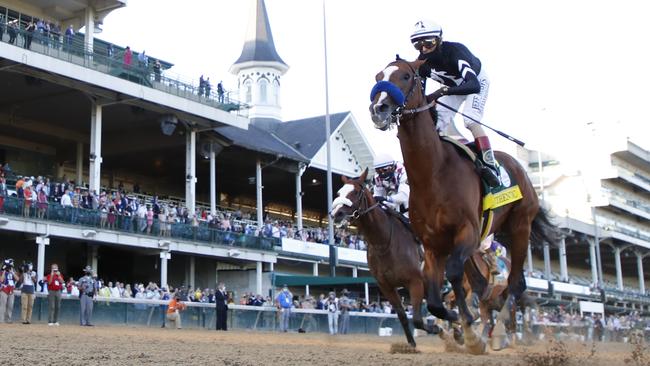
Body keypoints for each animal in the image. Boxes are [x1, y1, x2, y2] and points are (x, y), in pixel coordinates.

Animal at [332, 168, 432, 346]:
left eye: (356, 192)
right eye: (338, 192)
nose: (337, 214)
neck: (384, 242)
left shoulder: (415, 282)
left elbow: (418, 320)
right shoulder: (386, 286)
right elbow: (403, 316)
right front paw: (412, 345)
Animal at [368, 58, 556, 354]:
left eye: (407, 75)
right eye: (378, 76)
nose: (379, 109)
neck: (433, 173)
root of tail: (518, 167)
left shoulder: (468, 231)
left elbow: (455, 275)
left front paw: (468, 330)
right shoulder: (432, 245)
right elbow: (436, 300)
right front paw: (458, 325)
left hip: (520, 227)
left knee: (514, 283)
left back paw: (498, 333)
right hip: (500, 232)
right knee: (491, 286)